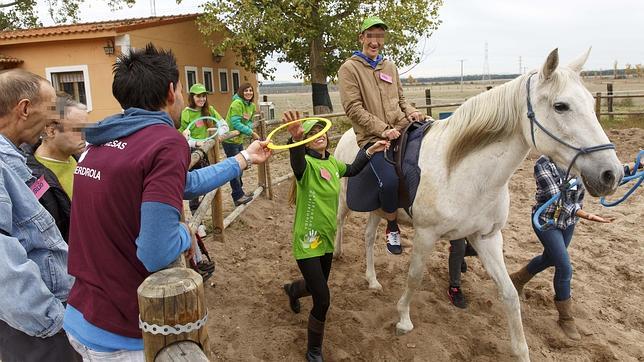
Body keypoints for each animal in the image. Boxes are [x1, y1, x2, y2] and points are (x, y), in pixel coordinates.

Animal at [332, 48, 624, 362]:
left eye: (591, 103)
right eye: (561, 106)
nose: (612, 174)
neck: (460, 170)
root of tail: (349, 135)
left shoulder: (487, 237)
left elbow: (509, 294)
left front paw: (521, 350)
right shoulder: (426, 235)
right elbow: (414, 277)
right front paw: (403, 320)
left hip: (378, 210)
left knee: (368, 237)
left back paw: (372, 280)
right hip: (345, 200)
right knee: (340, 223)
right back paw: (336, 254)